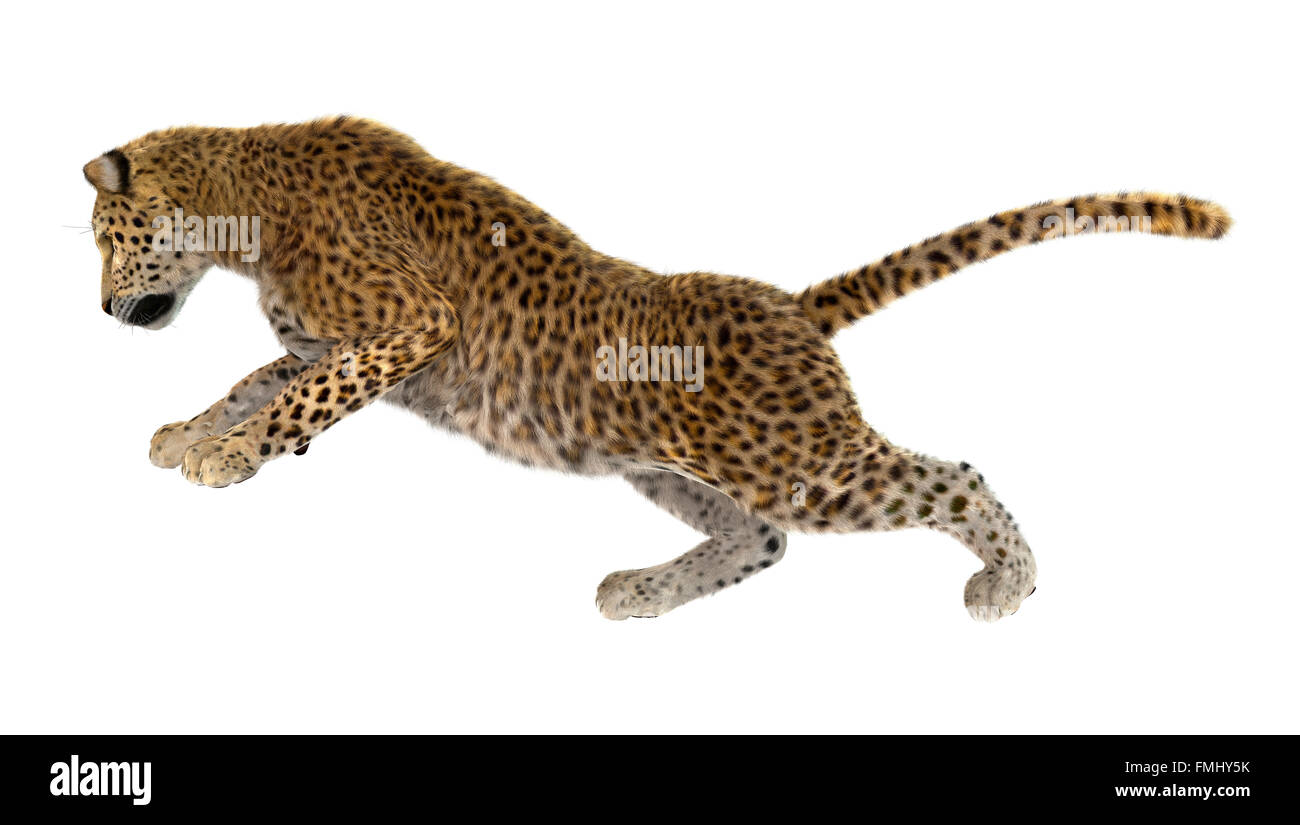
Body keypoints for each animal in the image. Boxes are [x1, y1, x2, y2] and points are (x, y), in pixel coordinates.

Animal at [83, 116, 1231, 622]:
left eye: (103, 236)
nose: (97, 308)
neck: (242, 199)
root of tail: (789, 305)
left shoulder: (411, 323)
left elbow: (296, 399)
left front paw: (228, 457)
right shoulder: (333, 344)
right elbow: (257, 382)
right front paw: (194, 433)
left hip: (800, 462)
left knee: (951, 476)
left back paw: (1008, 580)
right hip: (665, 467)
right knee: (759, 539)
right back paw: (643, 589)